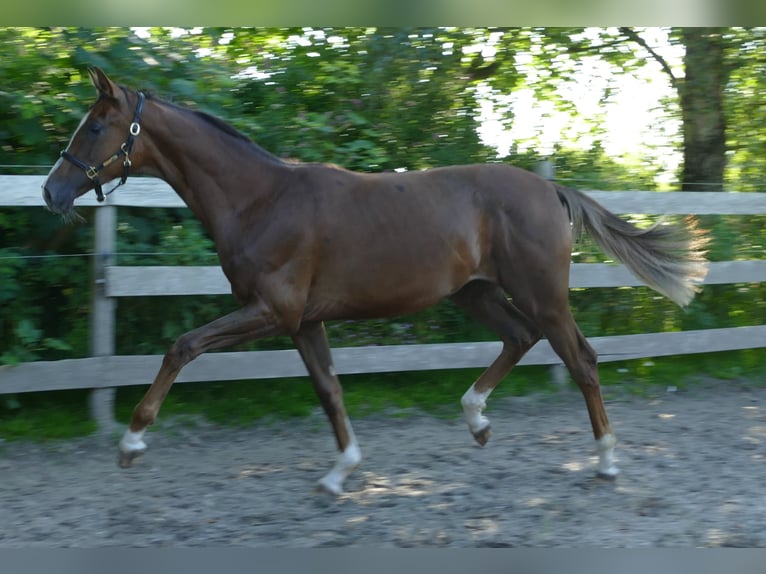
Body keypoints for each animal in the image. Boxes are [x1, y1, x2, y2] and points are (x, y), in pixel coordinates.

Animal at [45, 67, 712, 498]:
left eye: (95, 128)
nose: (53, 192)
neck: (262, 201)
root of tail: (550, 188)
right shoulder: (303, 321)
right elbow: (329, 390)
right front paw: (341, 471)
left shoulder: (271, 311)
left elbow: (181, 347)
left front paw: (131, 444)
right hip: (477, 291)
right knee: (519, 339)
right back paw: (477, 421)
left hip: (543, 296)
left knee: (582, 360)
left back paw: (605, 462)